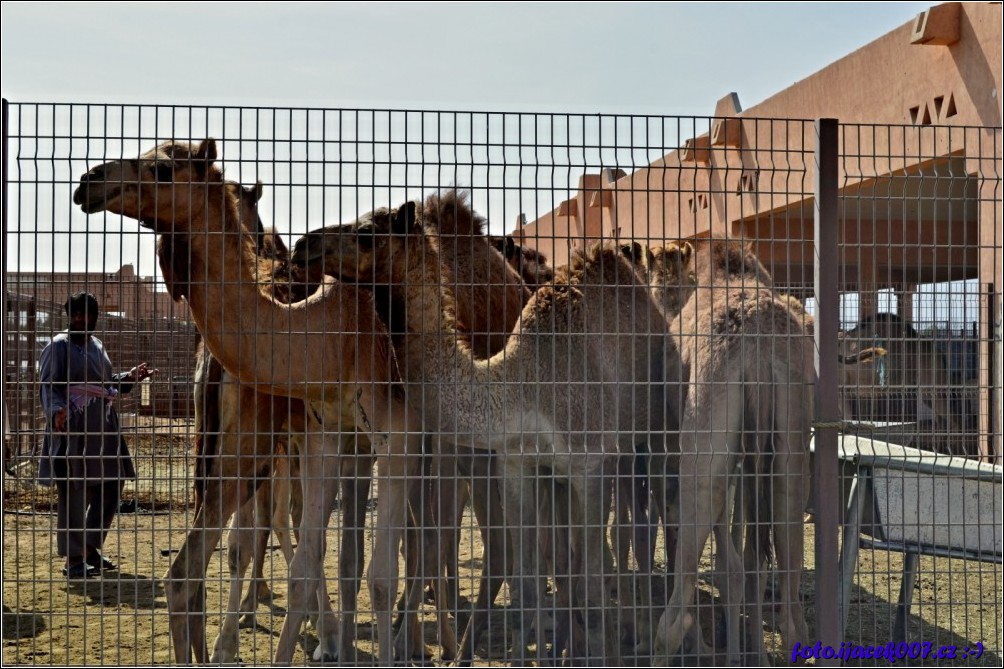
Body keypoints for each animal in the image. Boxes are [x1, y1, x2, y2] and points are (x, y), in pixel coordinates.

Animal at [72, 137, 425, 662]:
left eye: (162, 168)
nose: (89, 181)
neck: (332, 330)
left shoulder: (374, 435)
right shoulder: (326, 433)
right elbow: (330, 551)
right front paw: (331, 638)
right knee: (198, 564)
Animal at [287, 198, 686, 662]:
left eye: (367, 232)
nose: (303, 244)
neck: (519, 384)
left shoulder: (588, 462)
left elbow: (589, 583)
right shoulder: (516, 461)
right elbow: (527, 582)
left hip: (652, 433)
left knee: (655, 518)